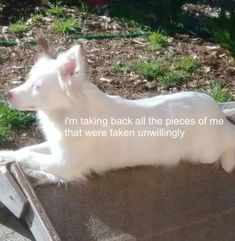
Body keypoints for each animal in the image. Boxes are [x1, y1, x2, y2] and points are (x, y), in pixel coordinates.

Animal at [1, 38, 235, 181]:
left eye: (37, 87)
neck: (65, 113)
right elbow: (25, 149)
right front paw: (5, 154)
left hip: (206, 153)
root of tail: (218, 113)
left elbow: (30, 156)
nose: (7, 94)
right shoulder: (57, 147)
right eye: (27, 80)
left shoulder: (64, 165)